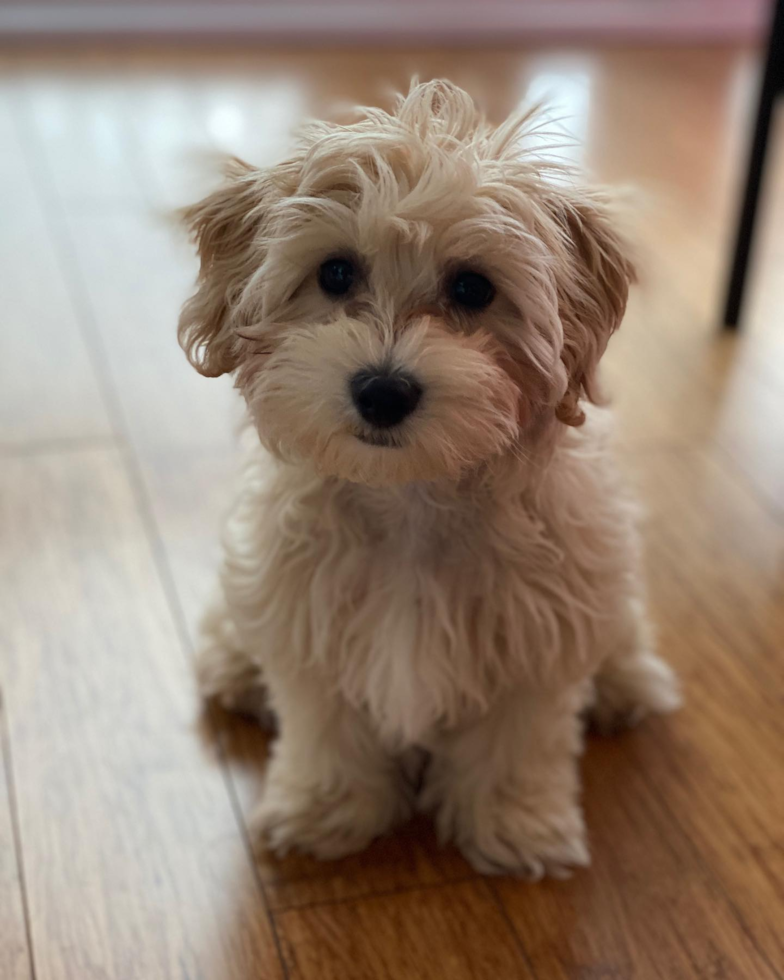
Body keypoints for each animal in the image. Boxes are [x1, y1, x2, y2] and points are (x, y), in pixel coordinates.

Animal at [178, 78, 680, 880]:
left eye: (472, 288)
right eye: (335, 273)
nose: (383, 391)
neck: (411, 495)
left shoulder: (537, 642)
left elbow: (516, 744)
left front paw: (516, 825)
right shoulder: (310, 620)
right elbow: (326, 729)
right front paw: (323, 809)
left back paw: (628, 681)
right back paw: (233, 664)